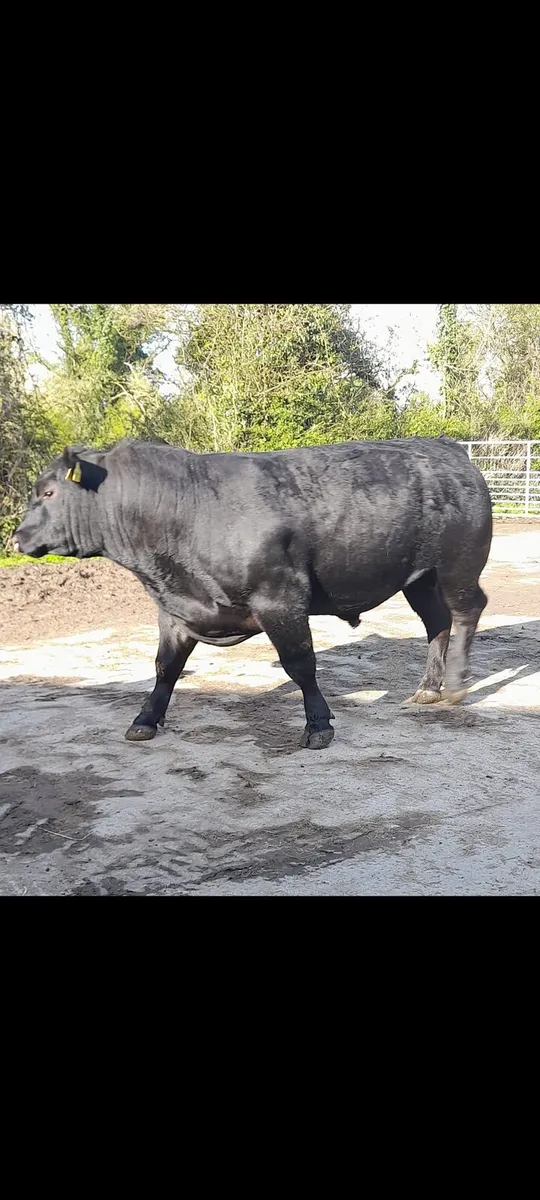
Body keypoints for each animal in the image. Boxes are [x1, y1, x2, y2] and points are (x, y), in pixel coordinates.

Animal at [13, 435, 492, 749]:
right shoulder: (176, 610)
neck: (187, 509)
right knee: (437, 623)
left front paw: (318, 725)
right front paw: (145, 719)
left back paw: (453, 684)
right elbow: (166, 667)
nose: (17, 537)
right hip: (420, 578)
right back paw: (428, 688)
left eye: (49, 492)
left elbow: (300, 664)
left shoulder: (279, 598)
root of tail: (449, 449)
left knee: (467, 612)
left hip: (457, 568)